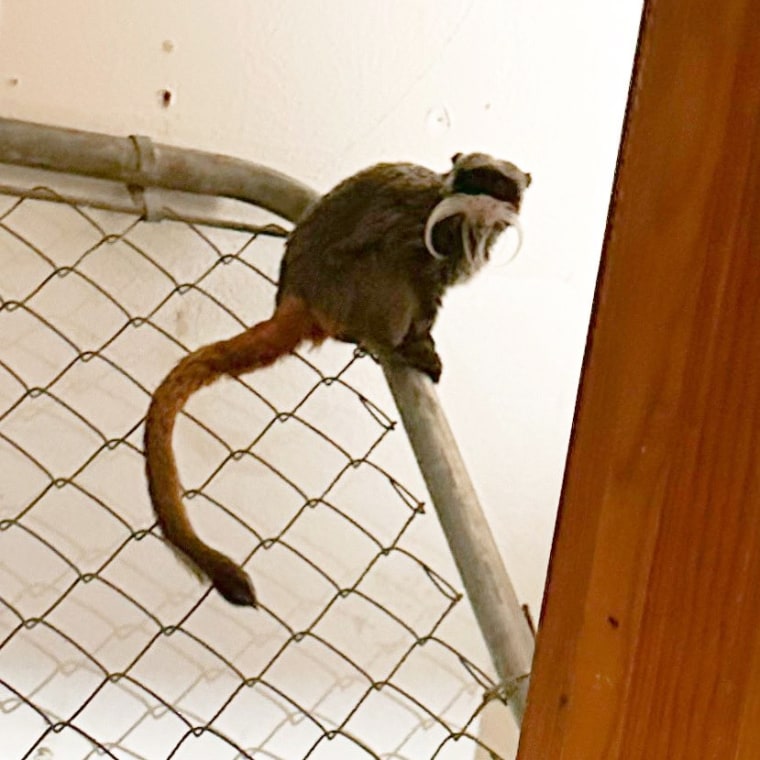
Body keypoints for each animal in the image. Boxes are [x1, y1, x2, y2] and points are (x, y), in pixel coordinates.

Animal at [145, 153, 532, 604]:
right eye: (473, 178)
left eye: (497, 183)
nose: (477, 198)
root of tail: (298, 293)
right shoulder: (424, 225)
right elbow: (409, 261)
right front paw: (418, 341)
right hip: (349, 289)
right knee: (391, 263)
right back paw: (394, 344)